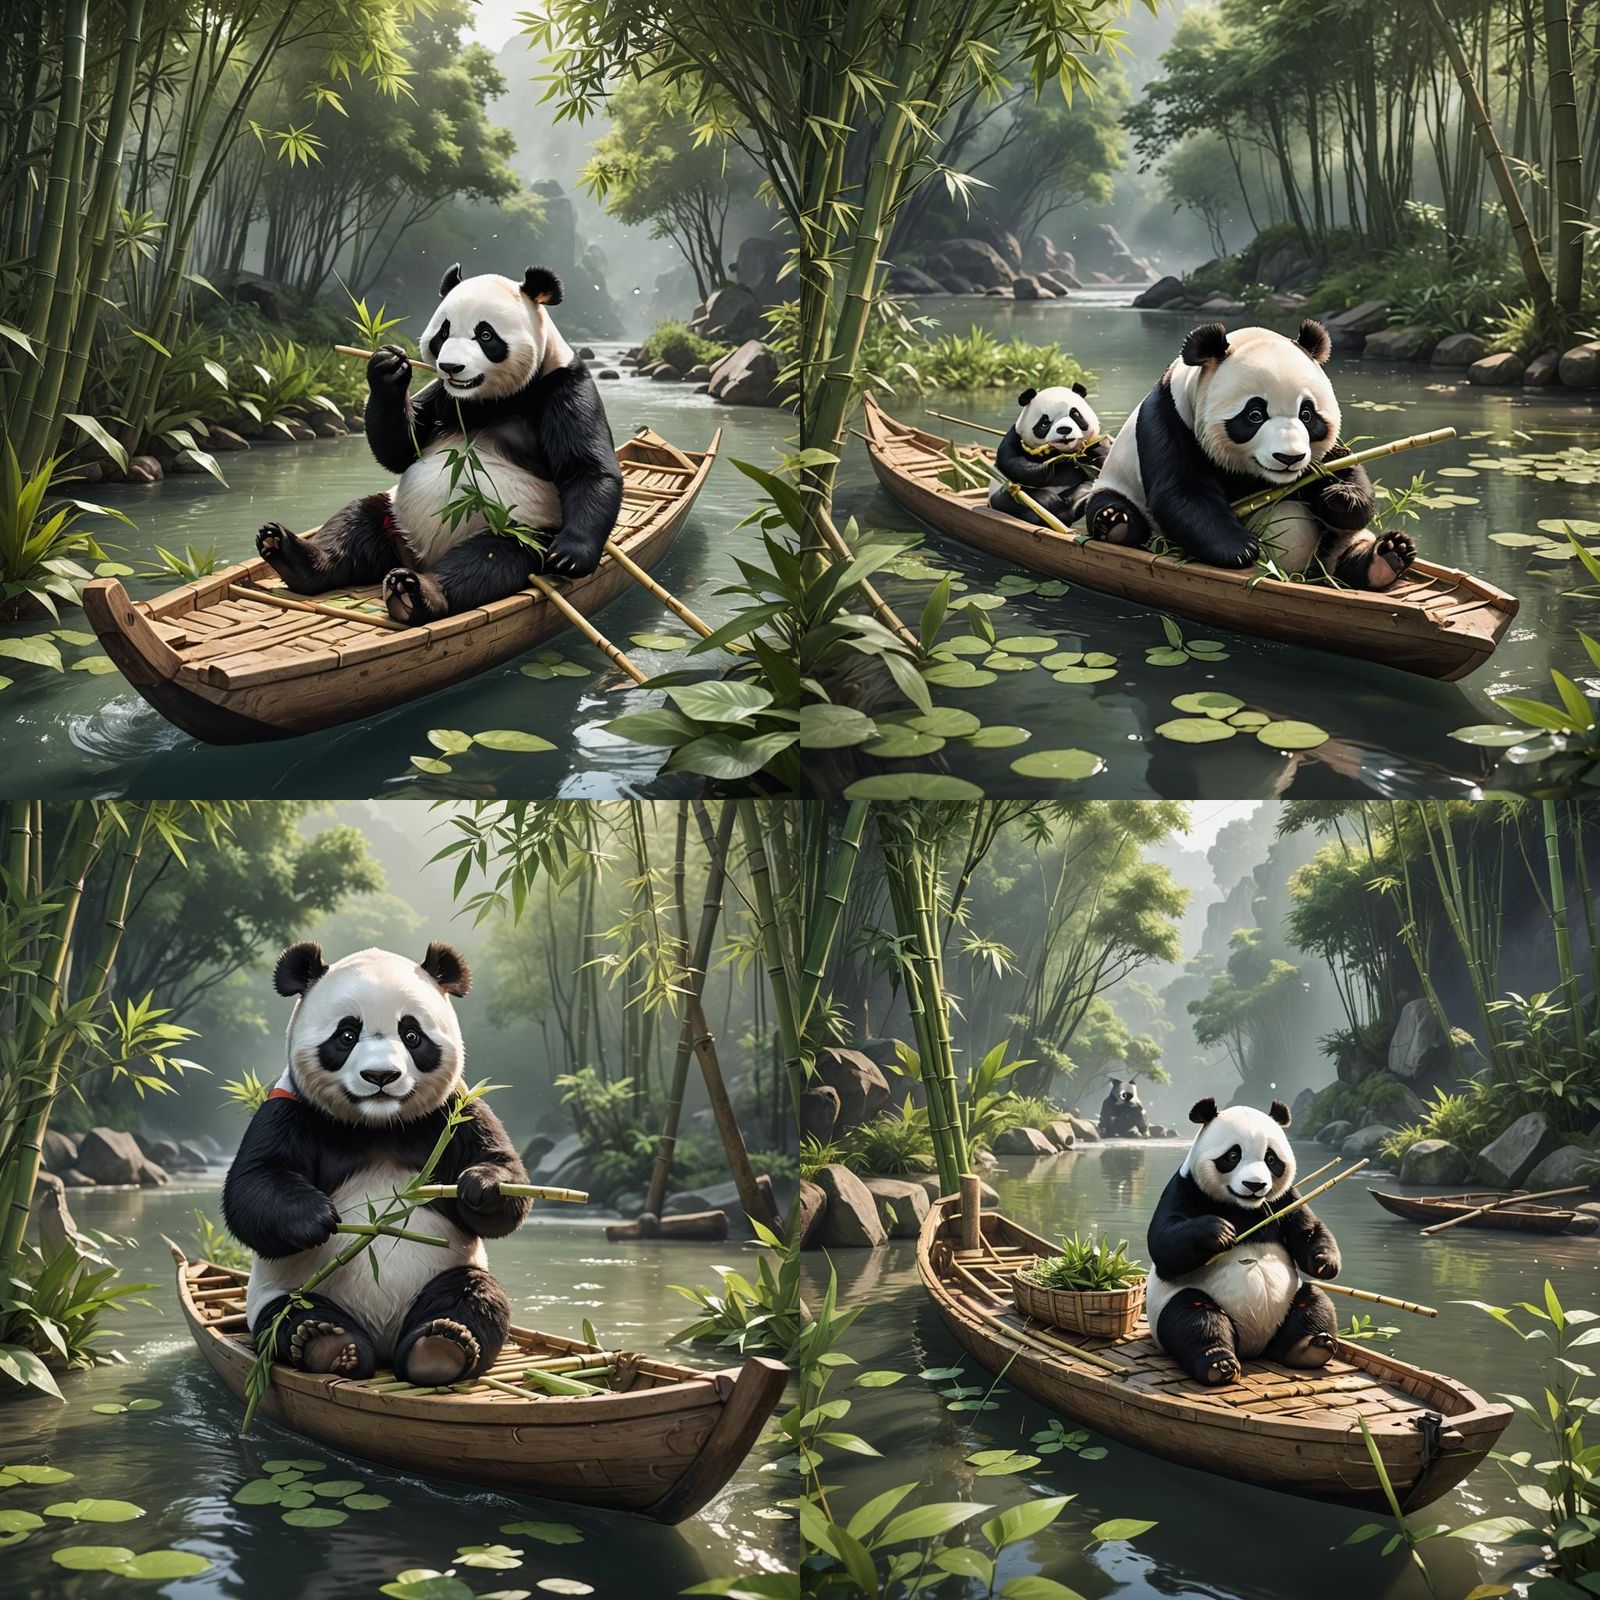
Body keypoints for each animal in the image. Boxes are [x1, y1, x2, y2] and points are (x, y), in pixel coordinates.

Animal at [222, 940, 529, 1386]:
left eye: (412, 1035)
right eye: (347, 1035)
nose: (380, 1076)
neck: (378, 1124)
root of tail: (383, 1341)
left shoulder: (455, 1110)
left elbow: (501, 1169)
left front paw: (480, 1187)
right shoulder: (291, 1107)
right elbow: (254, 1183)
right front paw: (318, 1217)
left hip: (444, 1273)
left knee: (473, 1296)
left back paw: (441, 1347)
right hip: (286, 1289)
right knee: (287, 1314)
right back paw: (324, 1342)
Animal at [255, 266, 624, 626]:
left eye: (486, 335)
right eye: (443, 333)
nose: (450, 367)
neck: (491, 399)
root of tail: (420, 558)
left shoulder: (561, 386)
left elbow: (586, 468)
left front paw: (570, 555)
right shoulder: (445, 396)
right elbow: (402, 449)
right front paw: (389, 367)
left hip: (520, 527)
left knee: (490, 560)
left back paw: (417, 593)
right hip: (397, 514)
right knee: (355, 522)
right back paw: (294, 555)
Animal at [986, 382, 1109, 526]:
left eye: (1075, 415)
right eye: (1044, 423)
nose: (1064, 429)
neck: (1062, 453)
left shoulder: (1094, 443)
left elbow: (1105, 456)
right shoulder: (1015, 436)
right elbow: (1010, 461)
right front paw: (1047, 468)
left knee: (1089, 487)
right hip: (1009, 493)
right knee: (1016, 500)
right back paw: (1053, 508)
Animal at [1081, 321, 1416, 590]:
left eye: (1307, 414)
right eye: (1255, 414)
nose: (1290, 458)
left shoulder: (1320, 453)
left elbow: (1343, 466)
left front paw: (1341, 497)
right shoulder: (1169, 418)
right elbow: (1183, 492)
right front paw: (1242, 548)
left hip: (1334, 546)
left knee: (1347, 550)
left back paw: (1387, 557)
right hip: (1117, 483)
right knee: (1113, 508)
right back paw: (1115, 522)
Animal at [1145, 1096, 1340, 1387]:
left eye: (1271, 1158)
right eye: (1232, 1156)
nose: (1255, 1185)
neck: (1243, 1207)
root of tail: (1253, 1346)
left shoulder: (1284, 1200)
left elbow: (1308, 1228)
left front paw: (1325, 1263)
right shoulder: (1184, 1187)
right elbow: (1163, 1243)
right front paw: (1219, 1232)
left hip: (1290, 1301)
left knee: (1314, 1304)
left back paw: (1310, 1346)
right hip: (1176, 1303)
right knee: (1193, 1318)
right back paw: (1219, 1363)